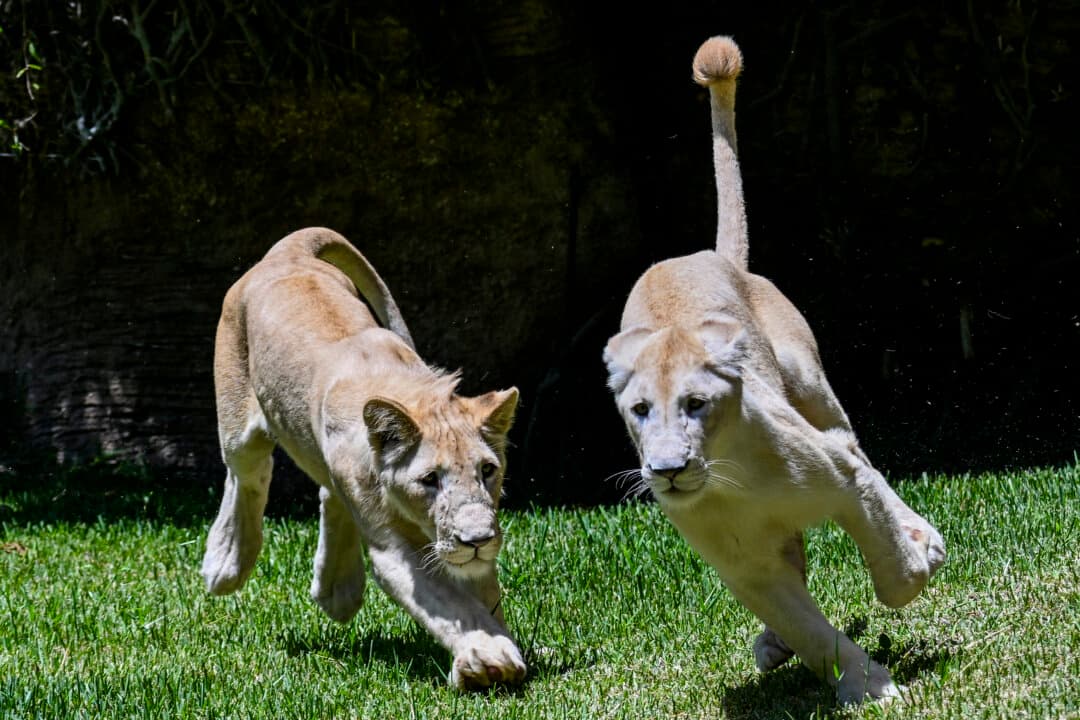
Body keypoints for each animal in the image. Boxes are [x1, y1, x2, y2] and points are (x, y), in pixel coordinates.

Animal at [200, 227, 526, 690]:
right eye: (430, 479)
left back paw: (337, 591)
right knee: (246, 478)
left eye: (488, 471)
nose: (477, 540)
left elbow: (481, 598)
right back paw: (225, 563)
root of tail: (288, 251)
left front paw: (494, 648)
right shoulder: (393, 550)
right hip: (238, 429)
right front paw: (488, 656)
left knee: (328, 493)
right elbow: (450, 604)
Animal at [603, 37, 945, 704]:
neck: (731, 478)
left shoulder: (840, 477)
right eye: (640, 411)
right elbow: (809, 630)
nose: (668, 470)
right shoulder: (746, 569)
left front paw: (916, 560)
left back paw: (923, 536)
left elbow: (888, 565)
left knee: (860, 450)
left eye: (696, 404)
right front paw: (866, 687)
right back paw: (773, 643)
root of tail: (710, 255)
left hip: (811, 388)